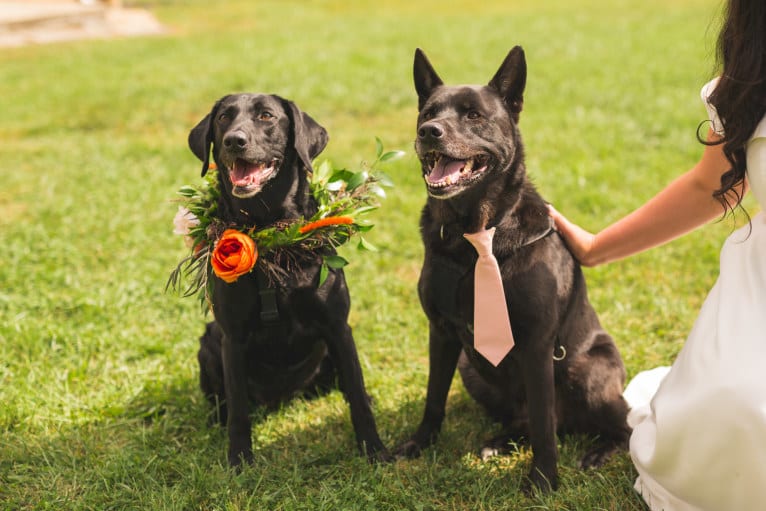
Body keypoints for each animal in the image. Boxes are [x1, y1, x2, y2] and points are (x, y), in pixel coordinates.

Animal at [186, 92, 390, 468]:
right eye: (223, 117)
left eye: (267, 116)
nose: (234, 140)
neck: (271, 233)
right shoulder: (232, 338)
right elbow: (239, 411)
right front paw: (239, 460)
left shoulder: (337, 326)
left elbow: (355, 394)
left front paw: (375, 450)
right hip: (209, 342)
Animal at [396, 49, 632, 492]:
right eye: (428, 112)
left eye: (473, 115)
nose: (428, 132)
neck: (474, 234)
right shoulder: (441, 332)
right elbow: (434, 398)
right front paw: (419, 444)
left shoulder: (537, 345)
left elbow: (543, 425)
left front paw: (543, 481)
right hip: (471, 368)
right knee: (525, 420)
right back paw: (501, 442)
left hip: (586, 371)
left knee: (621, 426)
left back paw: (599, 452)